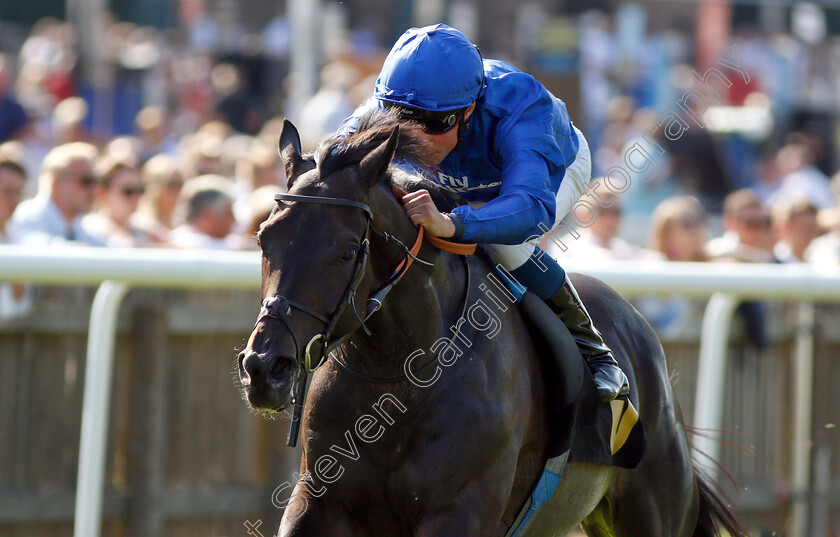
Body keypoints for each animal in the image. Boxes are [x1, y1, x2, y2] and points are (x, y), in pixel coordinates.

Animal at [238, 117, 748, 536]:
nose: (264, 367)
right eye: (263, 238)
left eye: (346, 251)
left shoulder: (460, 511)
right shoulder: (317, 501)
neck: (399, 376)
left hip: (653, 507)